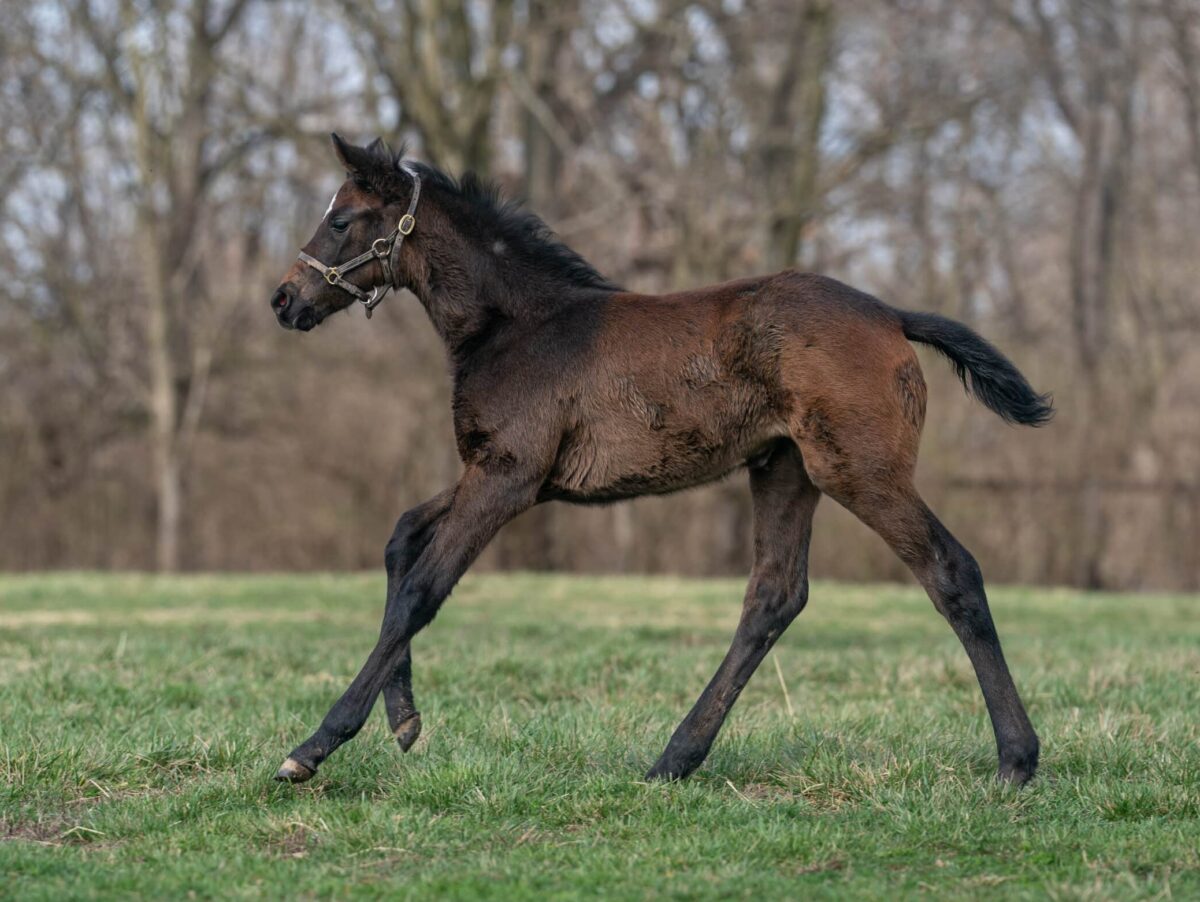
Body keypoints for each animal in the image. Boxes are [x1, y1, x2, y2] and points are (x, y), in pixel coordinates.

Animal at [265, 135, 1051, 786]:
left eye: (342, 220)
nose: (282, 299)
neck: (516, 326)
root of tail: (892, 315)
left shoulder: (509, 476)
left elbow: (423, 591)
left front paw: (314, 747)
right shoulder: (506, 474)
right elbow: (401, 540)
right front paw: (404, 723)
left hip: (859, 469)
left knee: (951, 570)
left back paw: (1016, 760)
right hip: (784, 468)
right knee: (774, 596)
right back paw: (674, 758)